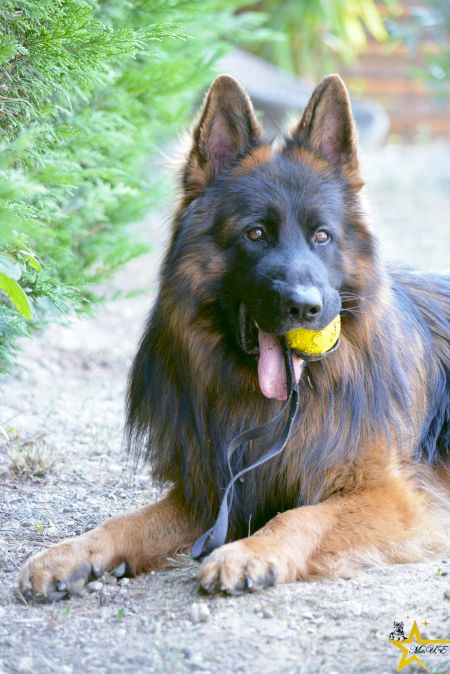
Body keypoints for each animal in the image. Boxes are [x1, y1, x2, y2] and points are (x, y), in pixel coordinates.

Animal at [19, 75, 448, 600]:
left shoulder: (390, 496)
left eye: (322, 236)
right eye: (256, 233)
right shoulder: (211, 496)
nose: (306, 309)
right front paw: (69, 554)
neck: (274, 408)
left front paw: (250, 553)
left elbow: (299, 516)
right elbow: (122, 523)